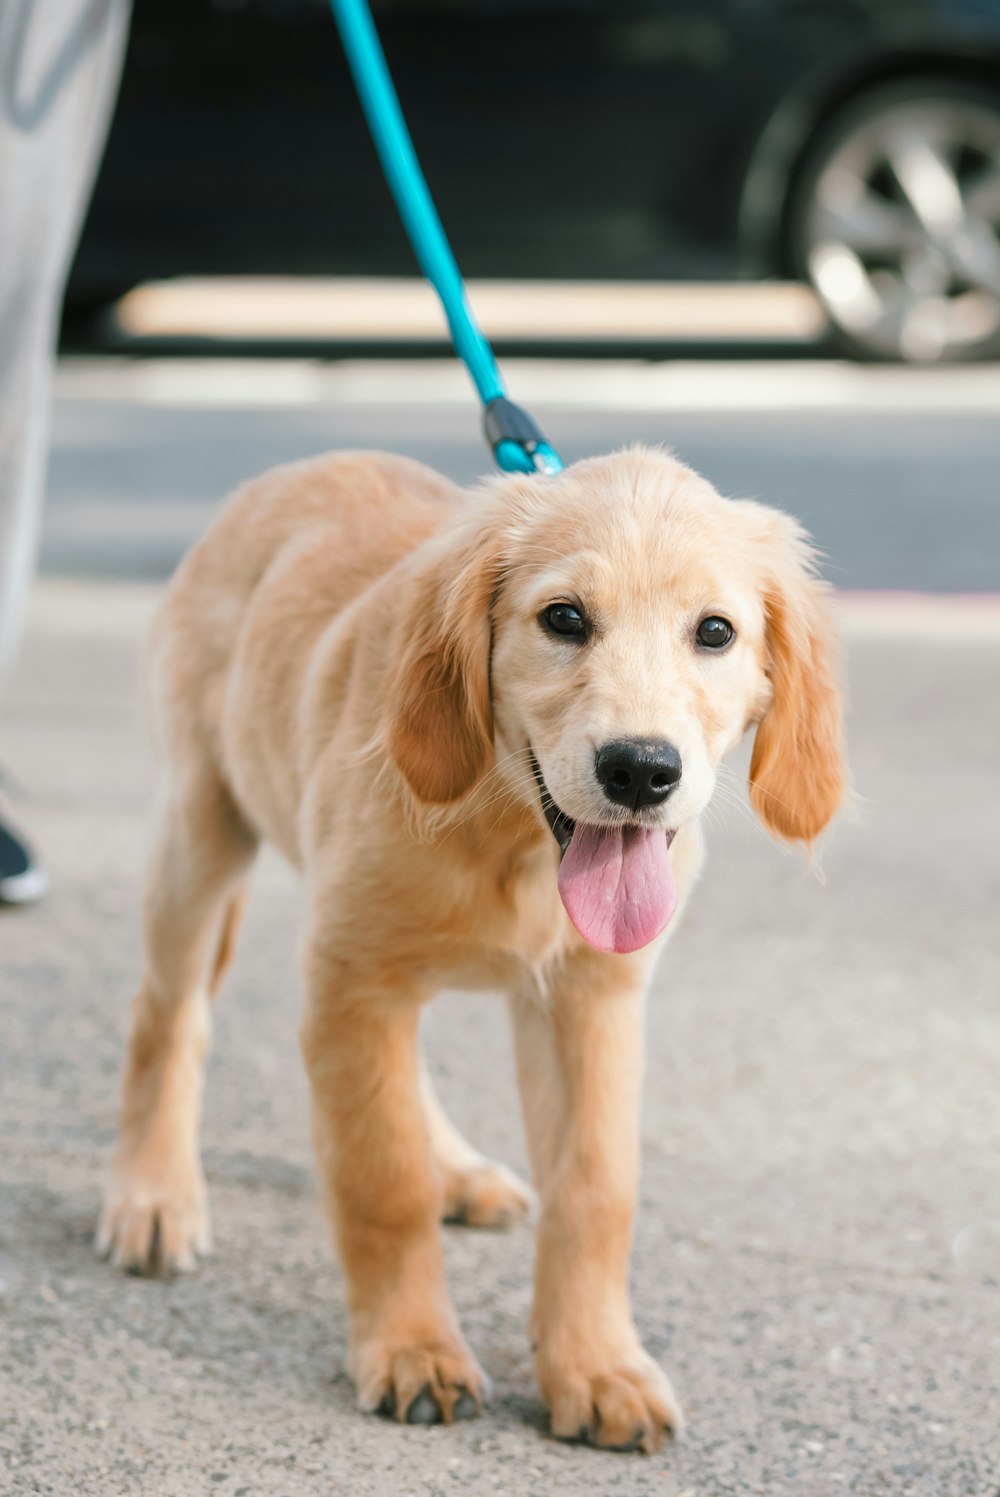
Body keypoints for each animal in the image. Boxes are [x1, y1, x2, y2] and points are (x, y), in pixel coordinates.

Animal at [97, 440, 844, 1449]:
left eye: (715, 632)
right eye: (564, 618)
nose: (641, 770)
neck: (513, 834)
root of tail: (309, 462)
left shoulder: (589, 997)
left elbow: (596, 1188)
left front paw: (595, 1364)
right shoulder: (351, 977)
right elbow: (382, 1176)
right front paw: (413, 1347)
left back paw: (455, 1169)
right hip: (200, 825)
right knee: (167, 1012)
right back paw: (153, 1194)